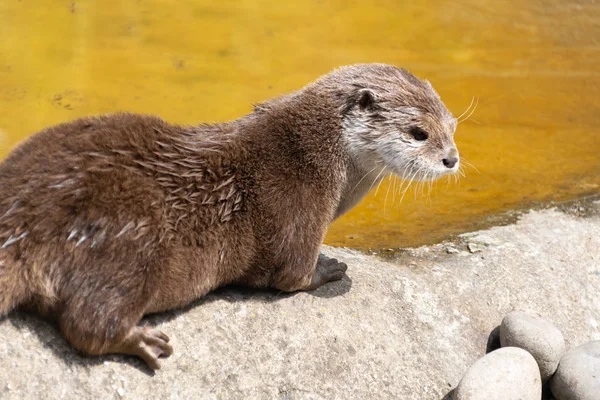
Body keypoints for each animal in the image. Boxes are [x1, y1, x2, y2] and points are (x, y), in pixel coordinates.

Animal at [0, 63, 460, 368]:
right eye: (419, 133)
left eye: (452, 125)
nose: (452, 159)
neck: (318, 152)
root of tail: (22, 212)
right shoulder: (302, 207)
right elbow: (292, 277)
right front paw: (330, 267)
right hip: (130, 228)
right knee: (88, 322)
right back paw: (144, 341)